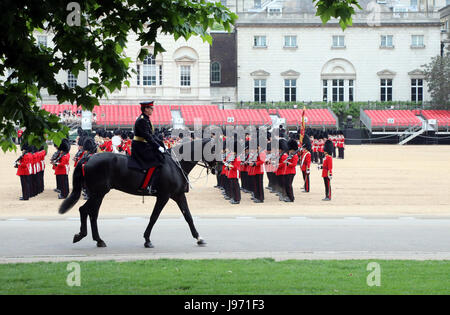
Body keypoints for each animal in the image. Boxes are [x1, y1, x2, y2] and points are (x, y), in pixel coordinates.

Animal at [59, 138, 217, 249]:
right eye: (213, 149)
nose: (219, 167)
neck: (175, 164)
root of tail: (89, 158)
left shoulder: (178, 195)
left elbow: (188, 217)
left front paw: (199, 238)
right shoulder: (164, 196)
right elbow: (154, 217)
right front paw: (147, 240)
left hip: (98, 194)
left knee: (90, 213)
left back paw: (96, 239)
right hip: (98, 193)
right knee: (86, 210)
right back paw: (85, 236)